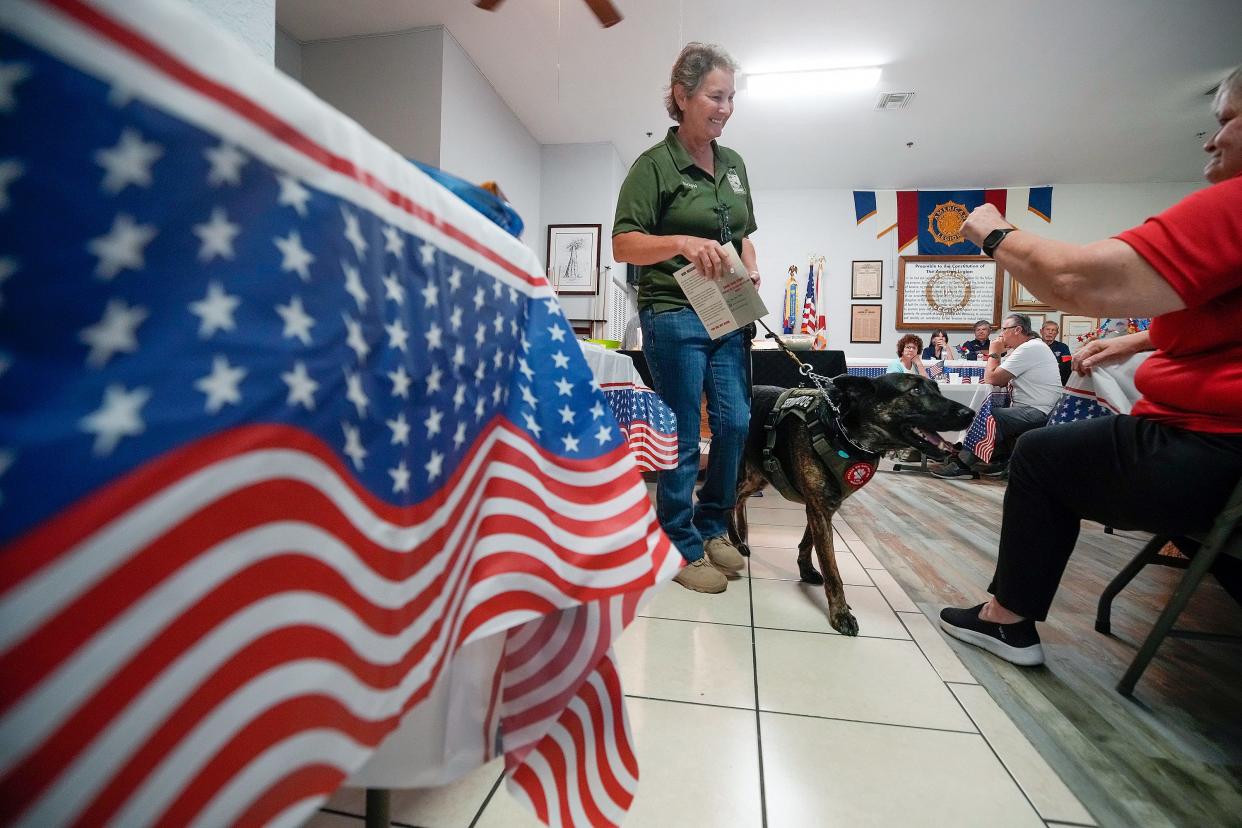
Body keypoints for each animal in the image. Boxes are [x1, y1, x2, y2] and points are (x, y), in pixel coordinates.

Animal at [725, 372, 978, 640]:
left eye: (937, 389)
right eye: (915, 390)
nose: (970, 413)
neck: (841, 429)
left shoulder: (823, 506)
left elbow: (808, 542)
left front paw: (806, 570)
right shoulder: (819, 508)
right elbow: (832, 569)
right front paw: (841, 614)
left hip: (759, 475)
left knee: (739, 499)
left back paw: (742, 532)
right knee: (725, 500)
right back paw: (736, 540)